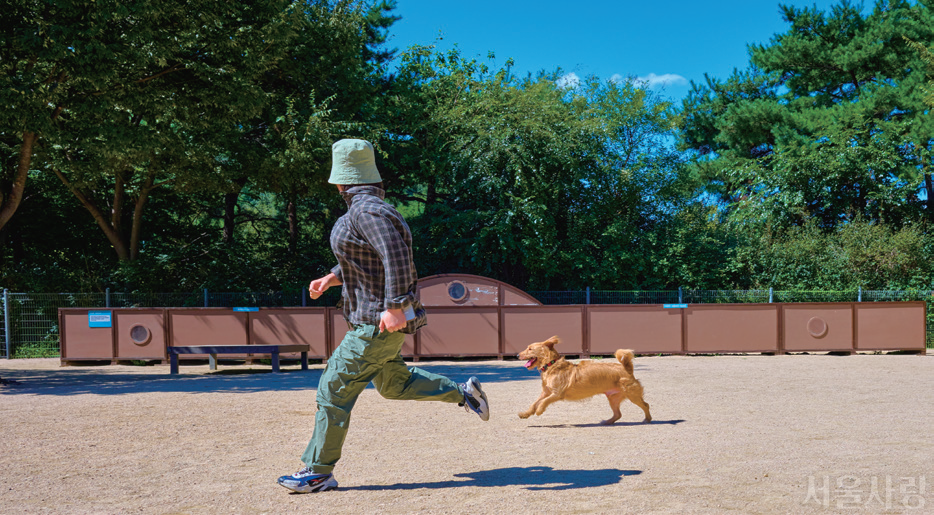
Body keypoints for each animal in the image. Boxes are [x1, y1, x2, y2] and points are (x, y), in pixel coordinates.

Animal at [516, 336, 656, 426]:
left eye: (530, 348)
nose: (517, 355)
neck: (551, 364)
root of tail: (626, 368)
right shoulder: (546, 392)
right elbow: (534, 403)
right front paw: (526, 413)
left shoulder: (556, 394)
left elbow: (543, 402)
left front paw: (539, 410)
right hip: (613, 398)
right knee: (618, 414)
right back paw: (607, 422)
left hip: (632, 395)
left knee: (646, 405)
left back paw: (647, 420)